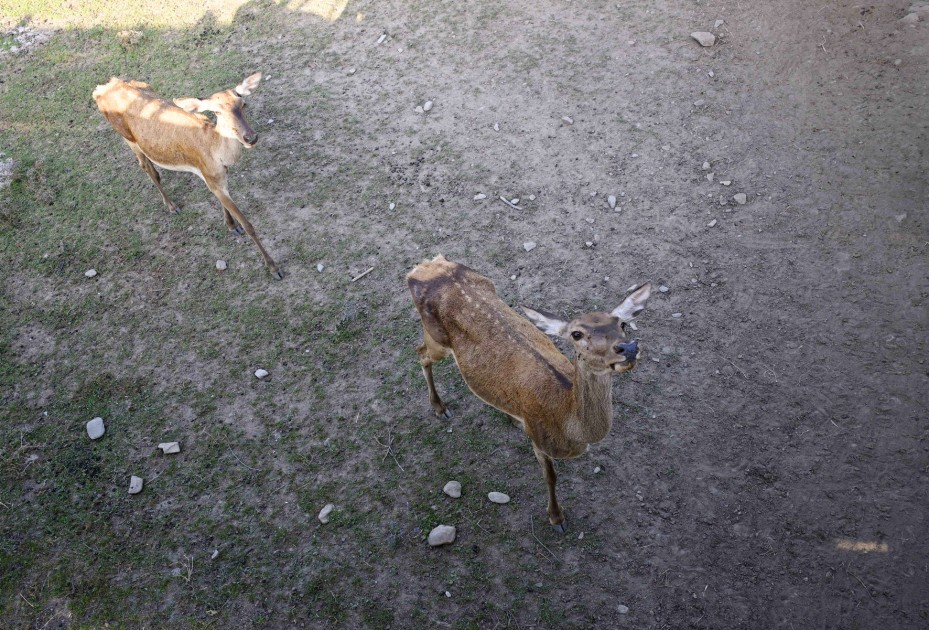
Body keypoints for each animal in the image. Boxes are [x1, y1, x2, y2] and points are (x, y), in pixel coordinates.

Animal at [94, 72, 284, 278]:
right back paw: (172, 206)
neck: (217, 152)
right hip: (128, 138)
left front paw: (232, 226)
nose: (250, 137)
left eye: (243, 104)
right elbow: (249, 225)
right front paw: (274, 268)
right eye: (217, 112)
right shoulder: (212, 176)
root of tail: (100, 89)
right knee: (148, 168)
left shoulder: (214, 177)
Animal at [406, 256, 652, 532]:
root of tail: (422, 267)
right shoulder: (538, 437)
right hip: (436, 338)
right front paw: (557, 518)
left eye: (622, 323)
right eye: (576, 334)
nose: (628, 348)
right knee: (420, 352)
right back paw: (439, 407)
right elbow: (551, 477)